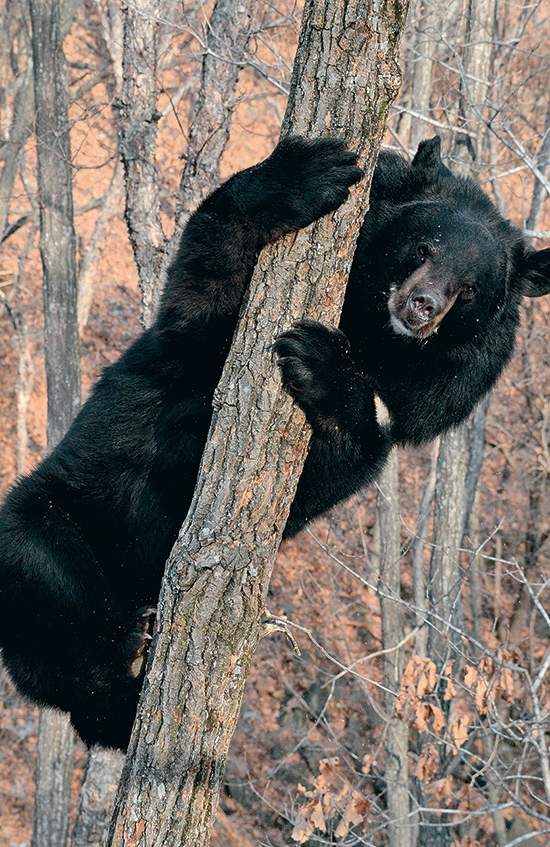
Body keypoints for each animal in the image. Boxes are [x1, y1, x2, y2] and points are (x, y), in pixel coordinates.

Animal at [0, 134, 548, 748]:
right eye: (422, 248)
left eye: (471, 290)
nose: (421, 307)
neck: (372, 330)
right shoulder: (205, 335)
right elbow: (204, 295)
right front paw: (309, 173)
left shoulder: (432, 398)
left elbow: (354, 447)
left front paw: (321, 362)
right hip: (53, 530)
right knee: (61, 610)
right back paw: (121, 677)